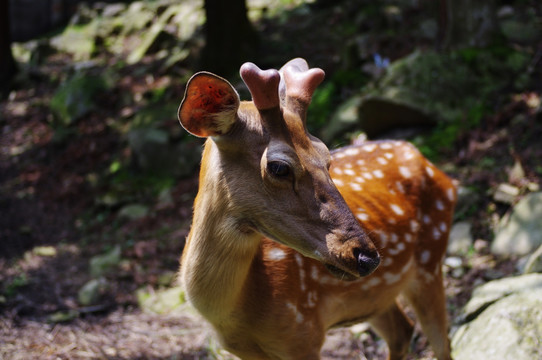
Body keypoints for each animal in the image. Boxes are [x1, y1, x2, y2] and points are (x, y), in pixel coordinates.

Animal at [178, 59, 454, 360]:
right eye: (279, 167)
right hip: (375, 297)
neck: (235, 312)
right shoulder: (243, 350)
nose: (367, 257)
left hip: (430, 259)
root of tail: (436, 169)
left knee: (441, 343)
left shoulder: (304, 334)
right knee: (402, 330)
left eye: (326, 156)